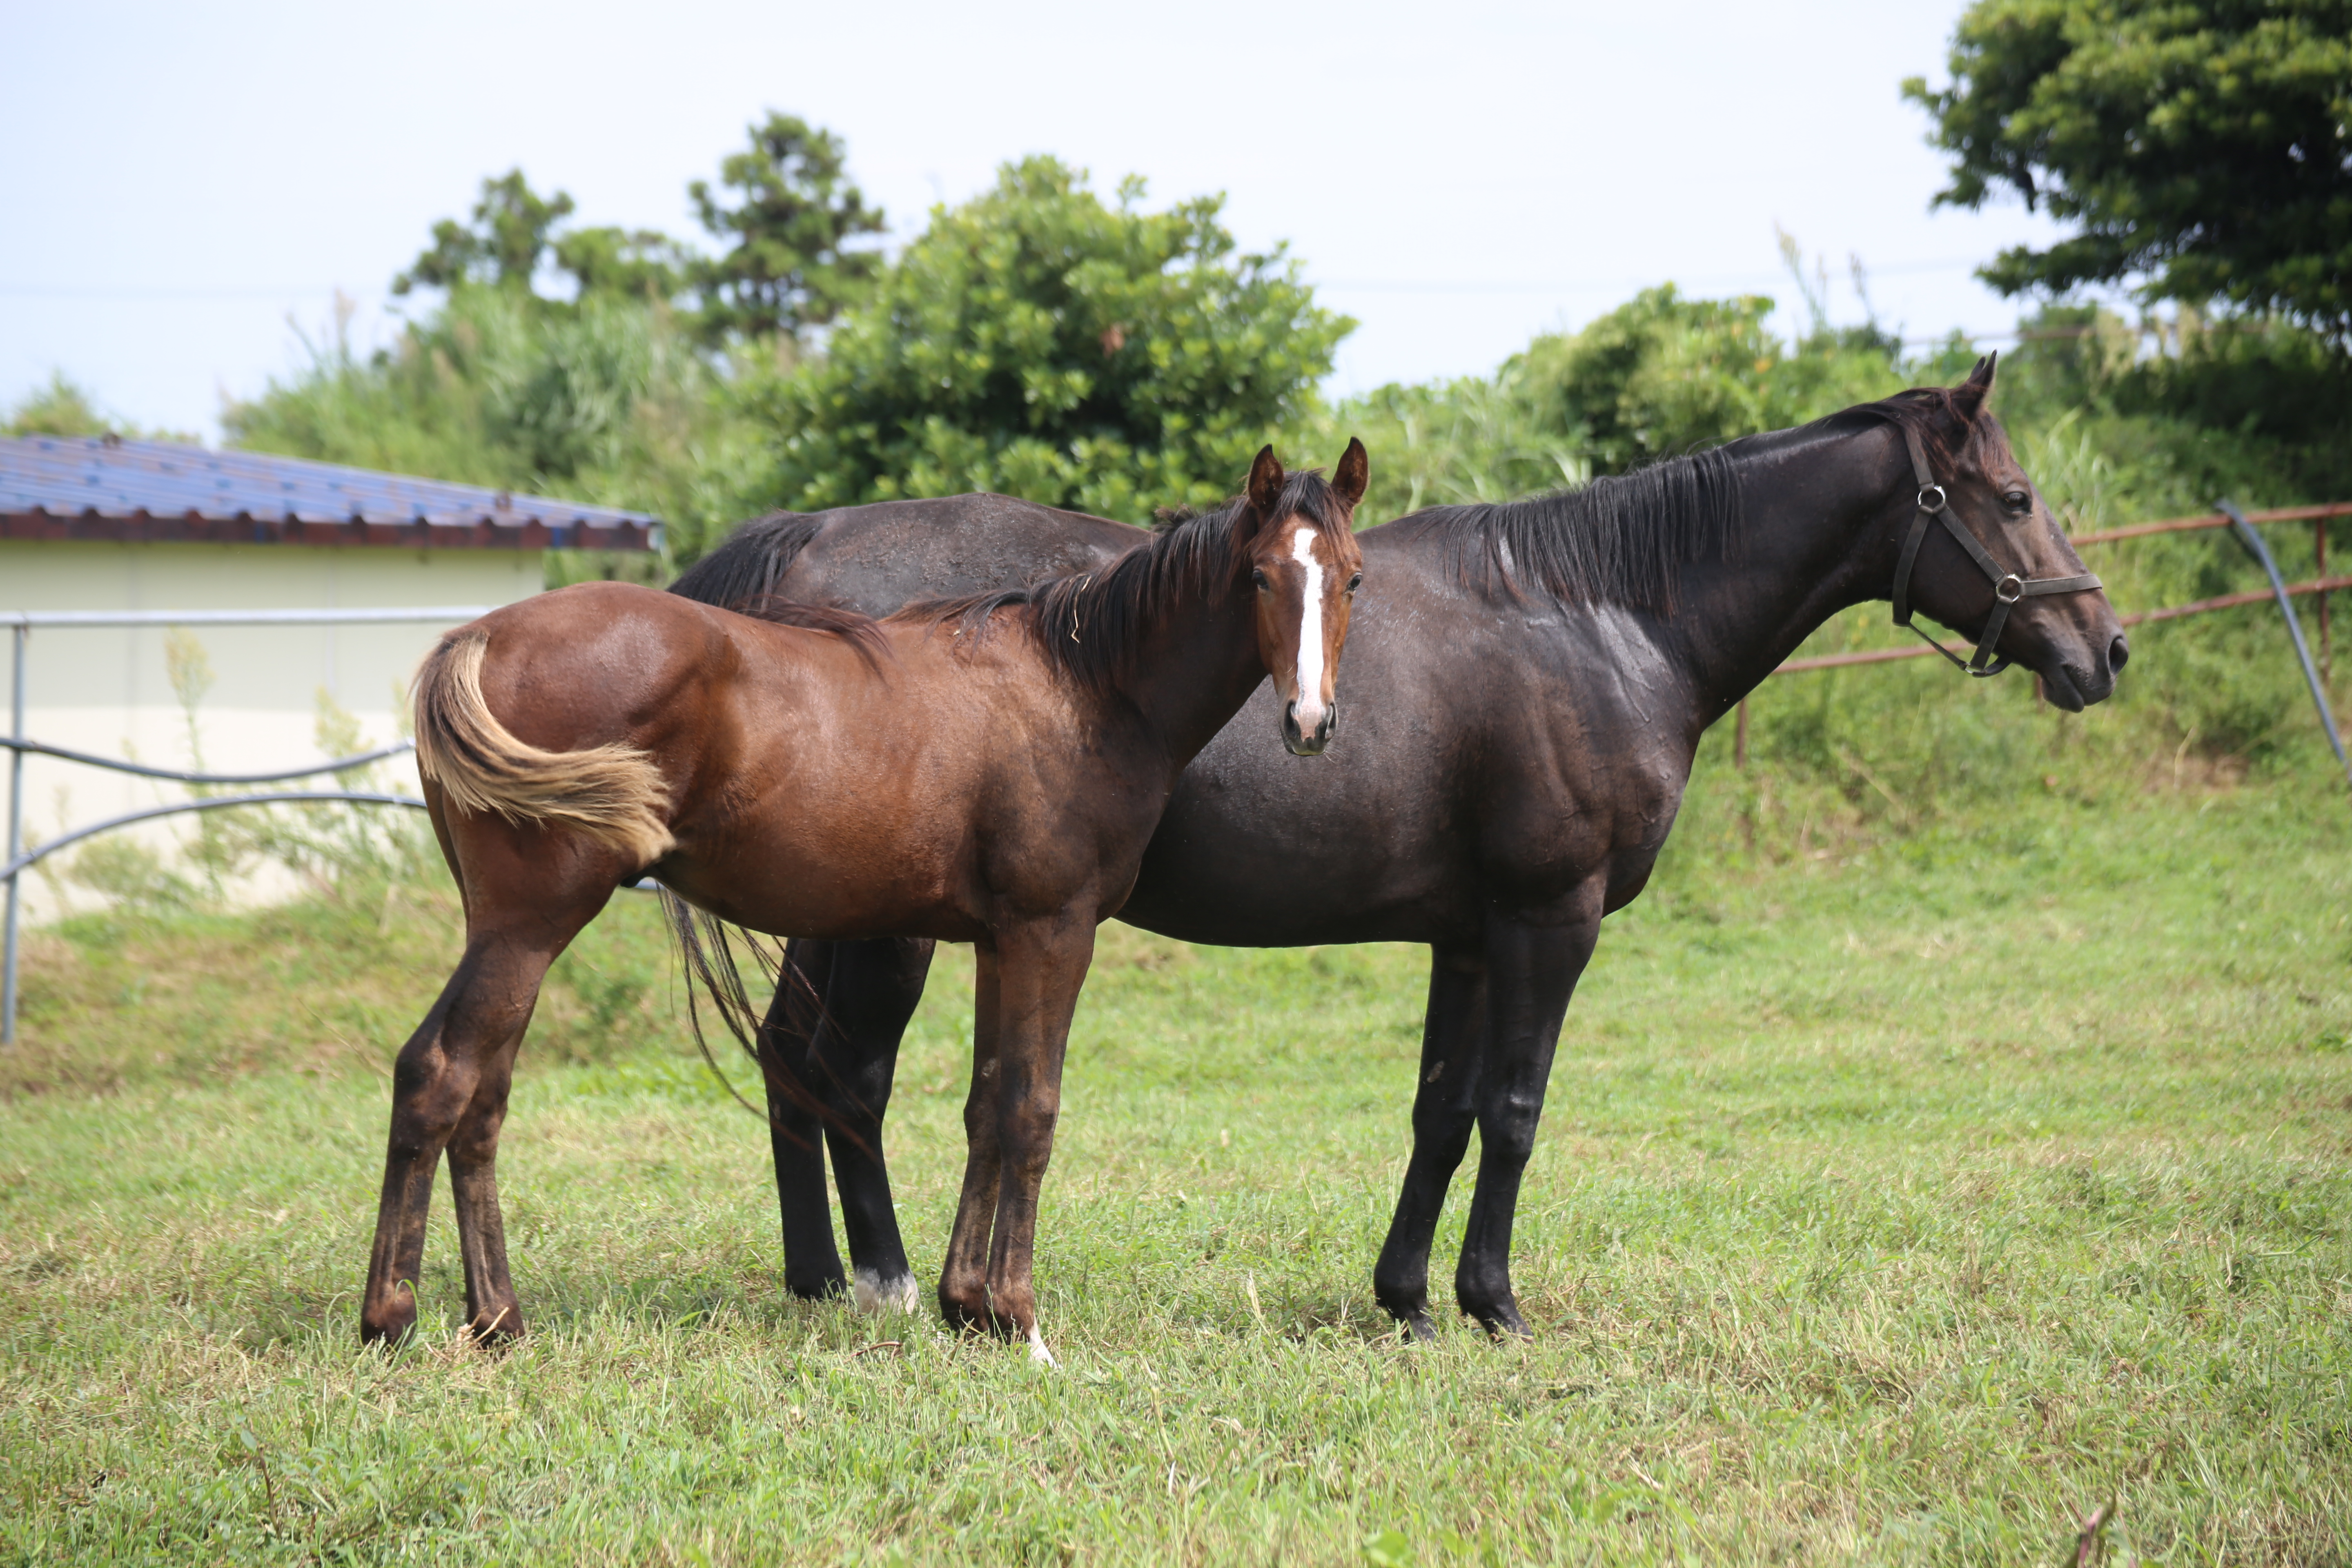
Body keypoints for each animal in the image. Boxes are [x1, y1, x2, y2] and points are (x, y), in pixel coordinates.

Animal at [357, 444, 1373, 1363]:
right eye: (1259, 576)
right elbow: (1031, 1111)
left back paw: (496, 1320)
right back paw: (397, 1318)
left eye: (1353, 578)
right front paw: (1022, 1321)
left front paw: (970, 1308)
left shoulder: (1000, 942)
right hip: (530, 929)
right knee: (443, 1075)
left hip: (513, 935)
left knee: (477, 1094)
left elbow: (987, 1105)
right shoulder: (1053, 932)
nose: (1311, 723)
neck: (1082, 689)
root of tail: (478, 639)